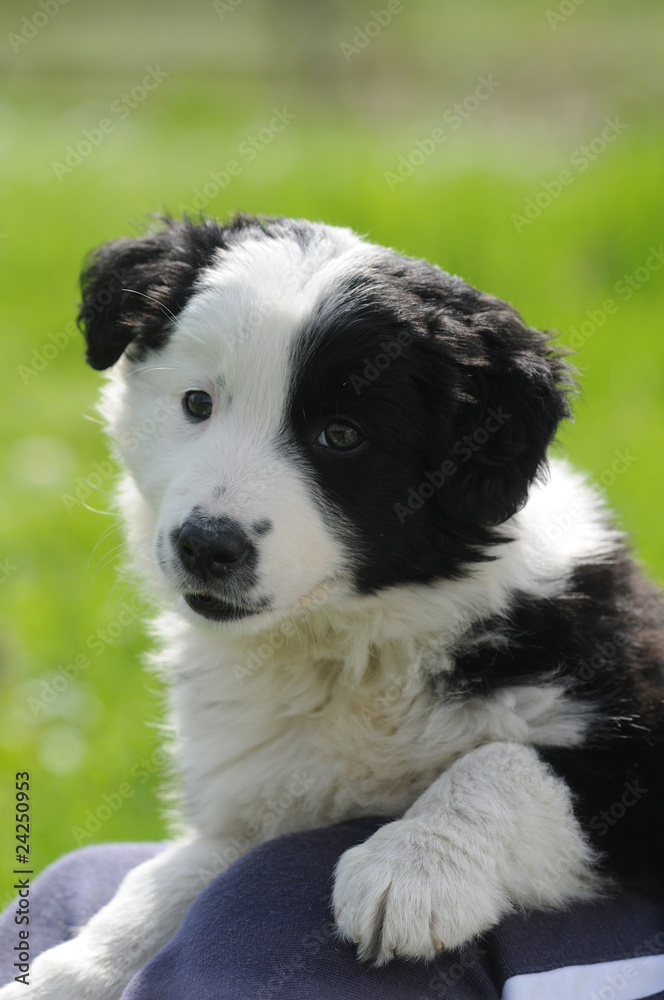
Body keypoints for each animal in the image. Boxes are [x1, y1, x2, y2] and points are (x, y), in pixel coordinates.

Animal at [6, 215, 664, 996]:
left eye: (342, 435)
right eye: (198, 404)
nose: (207, 545)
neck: (350, 645)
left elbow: (503, 761)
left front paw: (411, 867)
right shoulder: (265, 791)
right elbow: (170, 877)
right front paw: (81, 967)